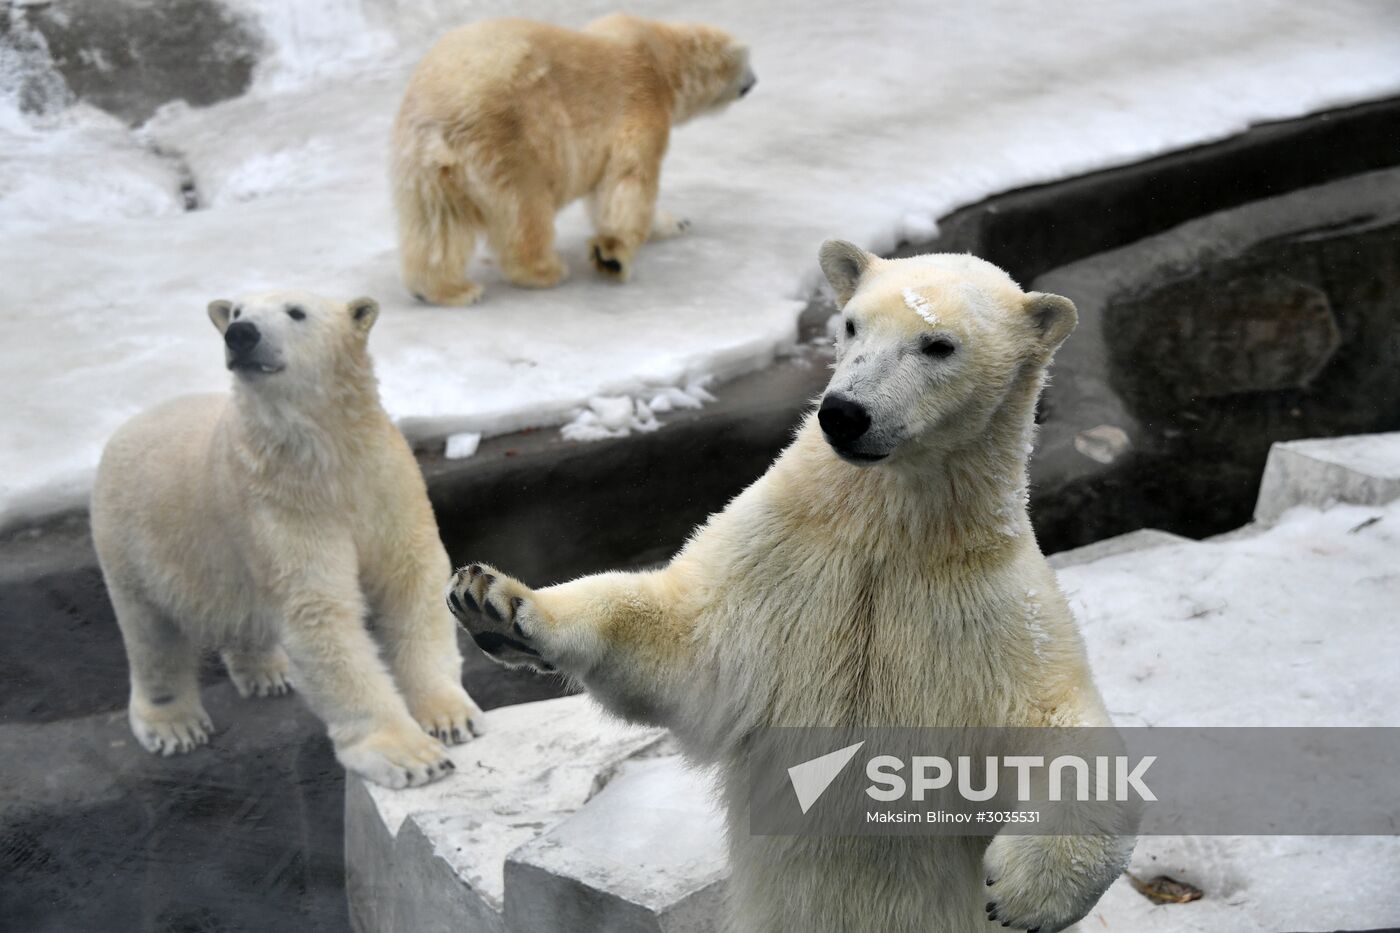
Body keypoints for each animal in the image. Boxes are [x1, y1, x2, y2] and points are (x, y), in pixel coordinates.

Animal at [90, 291, 483, 789]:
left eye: (297, 312)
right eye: (237, 312)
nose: (241, 334)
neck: (326, 455)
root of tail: (132, 422)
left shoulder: (385, 485)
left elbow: (410, 581)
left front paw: (451, 716)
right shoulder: (279, 504)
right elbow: (318, 610)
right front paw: (411, 756)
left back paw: (267, 672)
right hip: (134, 537)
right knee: (151, 633)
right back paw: (174, 725)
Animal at [391, 14, 755, 305]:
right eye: (747, 60)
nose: (754, 81)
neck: (660, 54)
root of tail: (437, 119)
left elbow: (606, 193)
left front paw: (675, 222)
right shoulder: (641, 101)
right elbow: (629, 181)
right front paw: (613, 257)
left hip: (429, 165)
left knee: (438, 222)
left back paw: (446, 290)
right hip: (508, 140)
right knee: (524, 209)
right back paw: (545, 270)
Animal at [447, 242, 1134, 931]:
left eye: (938, 344)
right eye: (852, 324)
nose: (845, 414)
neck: (891, 537)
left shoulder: (991, 612)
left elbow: (1058, 728)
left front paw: (1022, 895)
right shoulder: (779, 561)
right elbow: (680, 647)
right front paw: (495, 604)